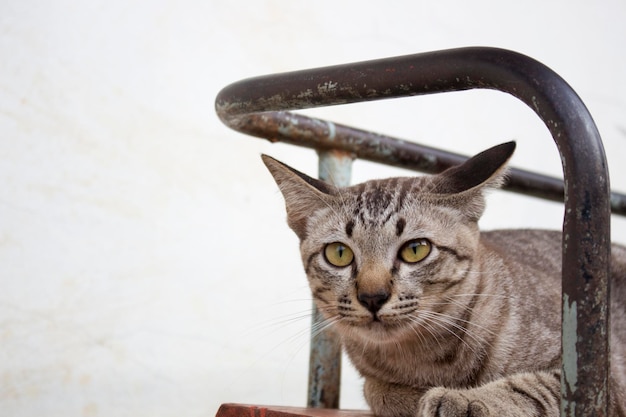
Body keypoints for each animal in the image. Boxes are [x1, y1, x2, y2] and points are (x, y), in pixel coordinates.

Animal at [260, 141, 624, 414]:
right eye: (339, 253)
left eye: (416, 250)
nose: (373, 297)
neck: (423, 358)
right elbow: (375, 389)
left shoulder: (601, 377)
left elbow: (536, 386)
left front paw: (465, 400)